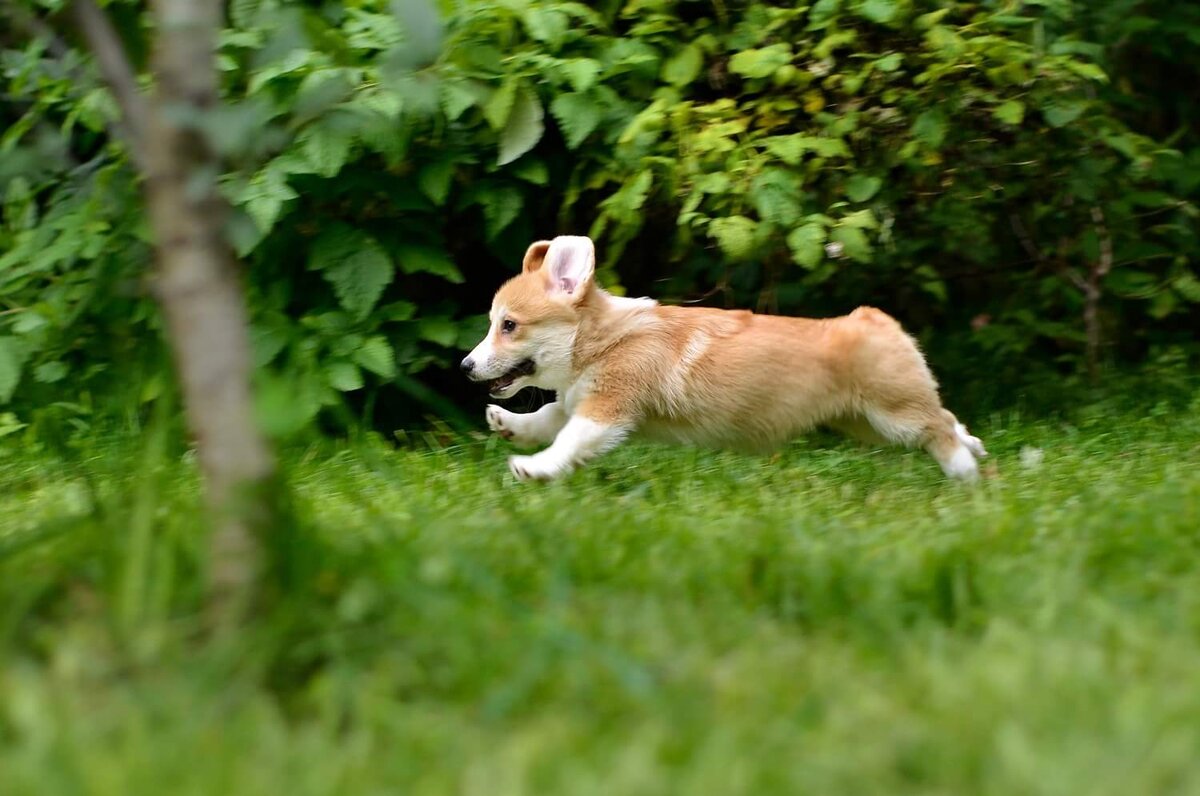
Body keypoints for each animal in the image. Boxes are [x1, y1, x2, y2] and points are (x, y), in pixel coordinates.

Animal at [458, 234, 984, 482]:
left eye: (509, 326)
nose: (465, 367)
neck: (600, 338)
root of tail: (873, 318)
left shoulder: (609, 407)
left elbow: (568, 440)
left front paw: (535, 469)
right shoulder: (580, 402)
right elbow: (548, 417)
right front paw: (506, 423)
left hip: (892, 413)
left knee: (936, 425)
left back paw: (965, 470)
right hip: (864, 422)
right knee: (945, 416)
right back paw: (975, 446)